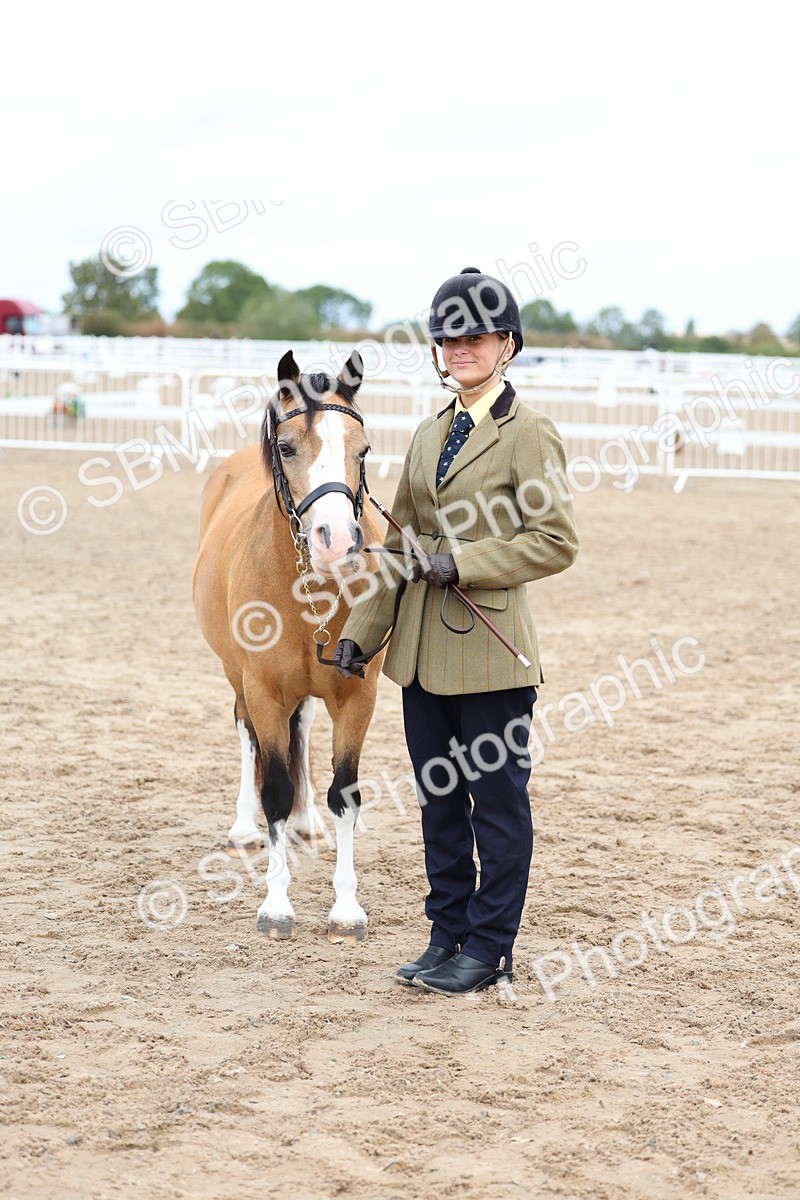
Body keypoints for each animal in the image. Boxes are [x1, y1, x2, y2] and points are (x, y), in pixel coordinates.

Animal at [192, 350, 385, 942]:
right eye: (286, 448)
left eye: (362, 450)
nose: (338, 542)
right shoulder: (263, 690)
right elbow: (272, 785)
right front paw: (276, 905)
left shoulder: (357, 695)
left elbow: (345, 793)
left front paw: (346, 909)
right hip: (236, 677)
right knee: (246, 735)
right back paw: (243, 826)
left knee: (302, 733)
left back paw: (307, 823)